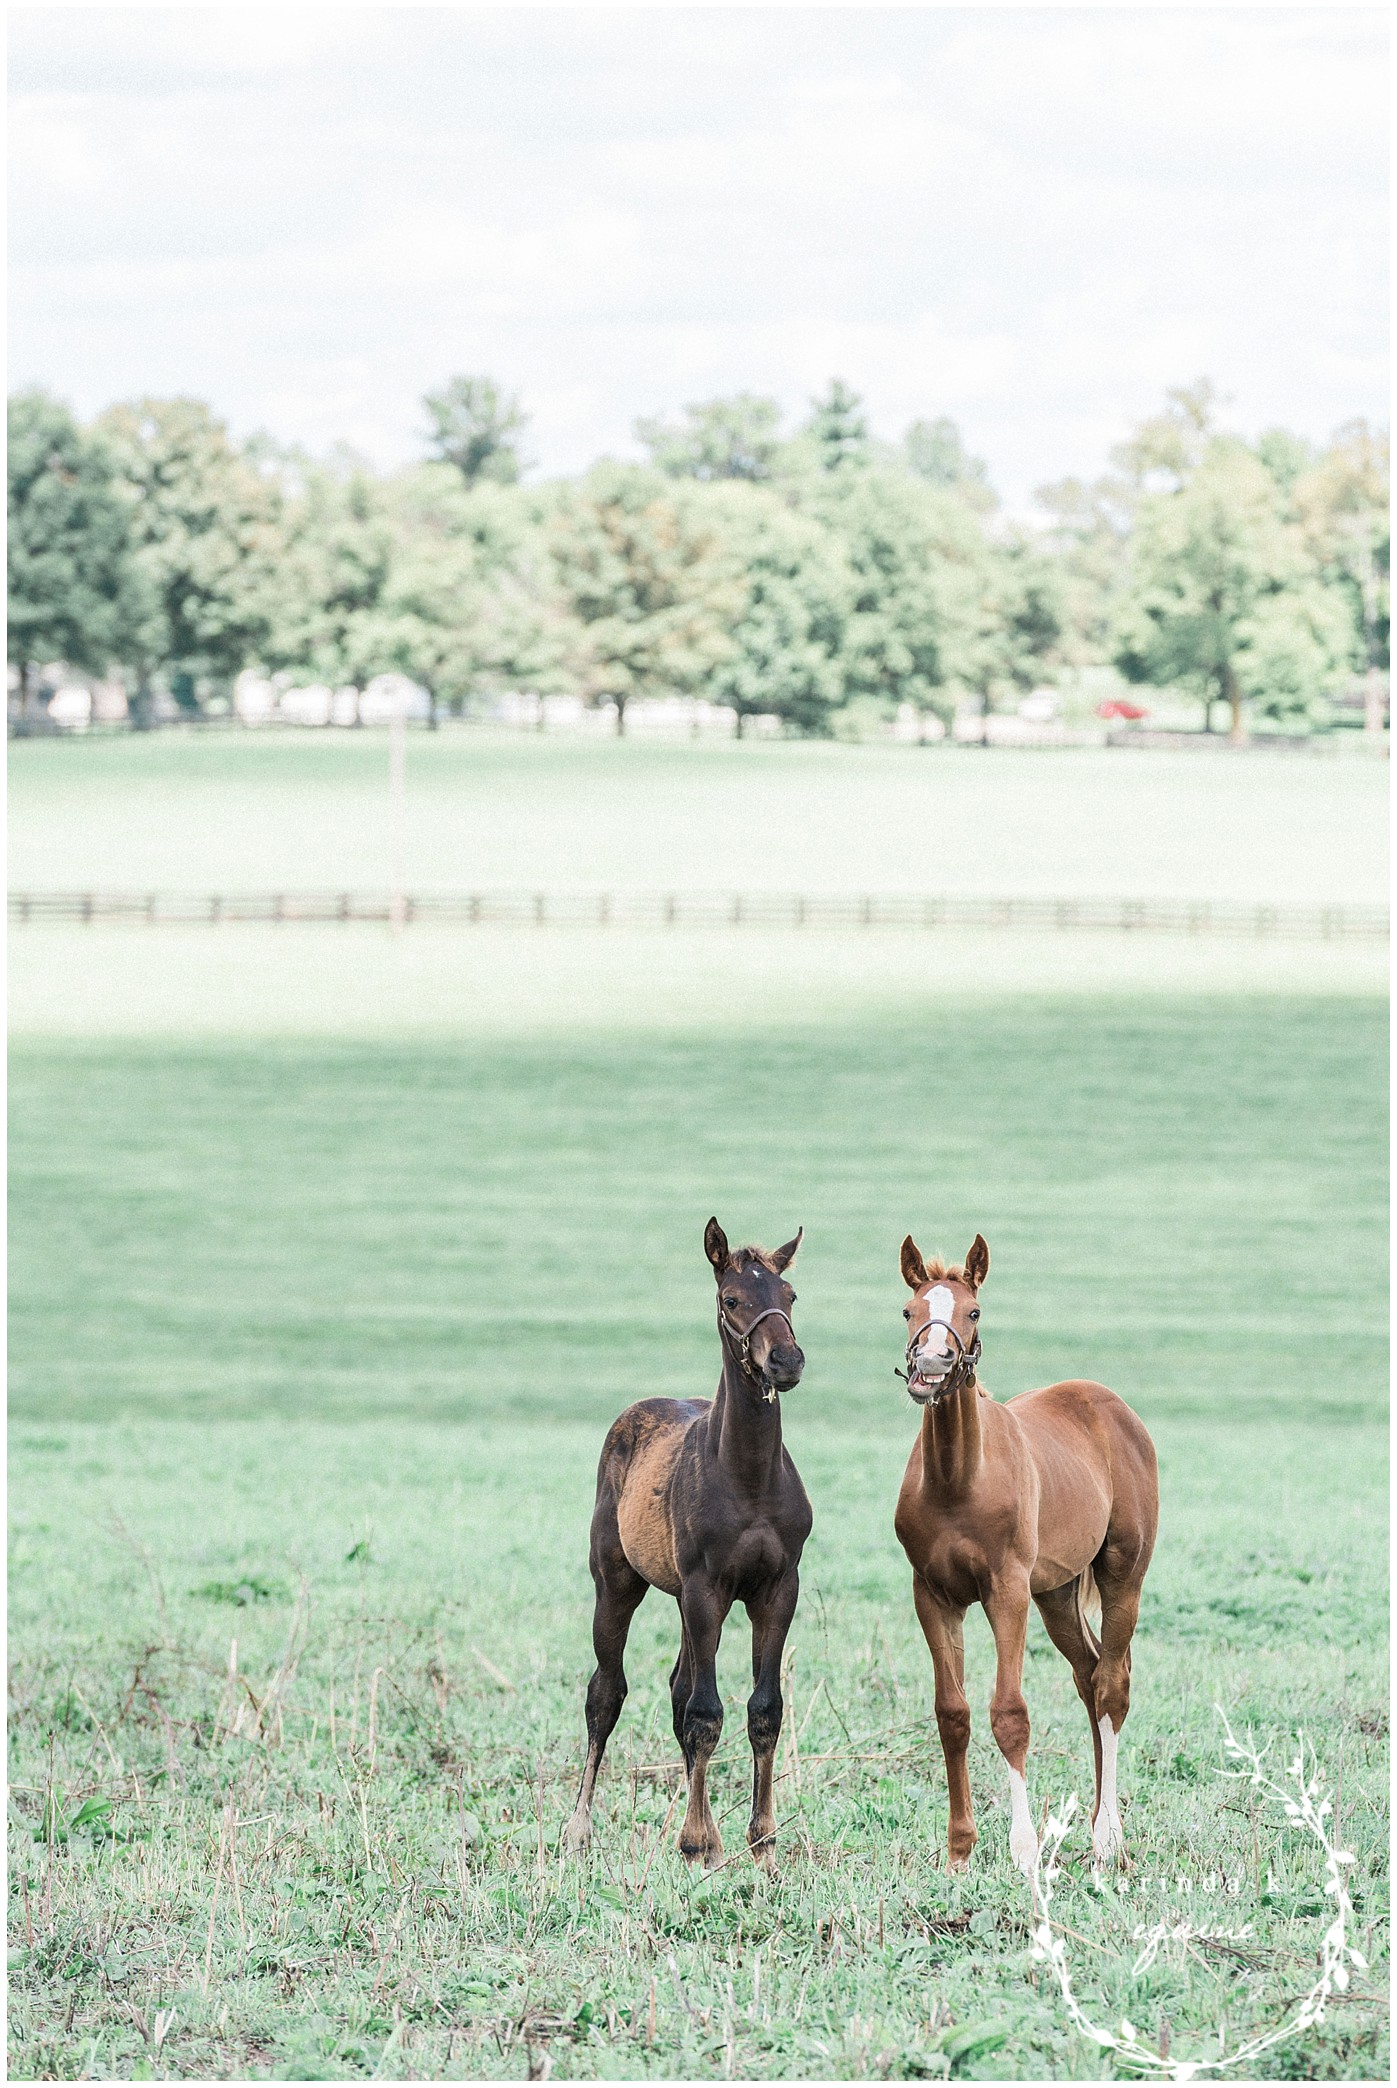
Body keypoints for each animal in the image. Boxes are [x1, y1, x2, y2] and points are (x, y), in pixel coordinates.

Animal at [565, 1218, 812, 1871]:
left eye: (789, 1294)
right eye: (732, 1299)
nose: (785, 1360)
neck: (747, 1478)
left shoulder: (777, 1589)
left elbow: (763, 1710)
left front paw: (762, 1840)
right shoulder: (706, 1588)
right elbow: (704, 1712)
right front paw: (700, 1841)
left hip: (682, 1598)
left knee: (677, 1688)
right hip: (618, 1583)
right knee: (606, 1692)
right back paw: (578, 1827)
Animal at [892, 1232, 1158, 1876]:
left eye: (974, 1311)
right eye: (909, 1310)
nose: (931, 1366)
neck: (958, 1481)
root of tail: (1111, 1405)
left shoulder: (1005, 1592)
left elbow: (1009, 1714)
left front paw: (1024, 1849)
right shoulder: (932, 1594)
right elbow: (952, 1714)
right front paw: (959, 1850)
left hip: (1122, 1576)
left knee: (1113, 1685)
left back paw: (1108, 1837)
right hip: (1056, 1593)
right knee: (1090, 1675)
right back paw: (1097, 1822)